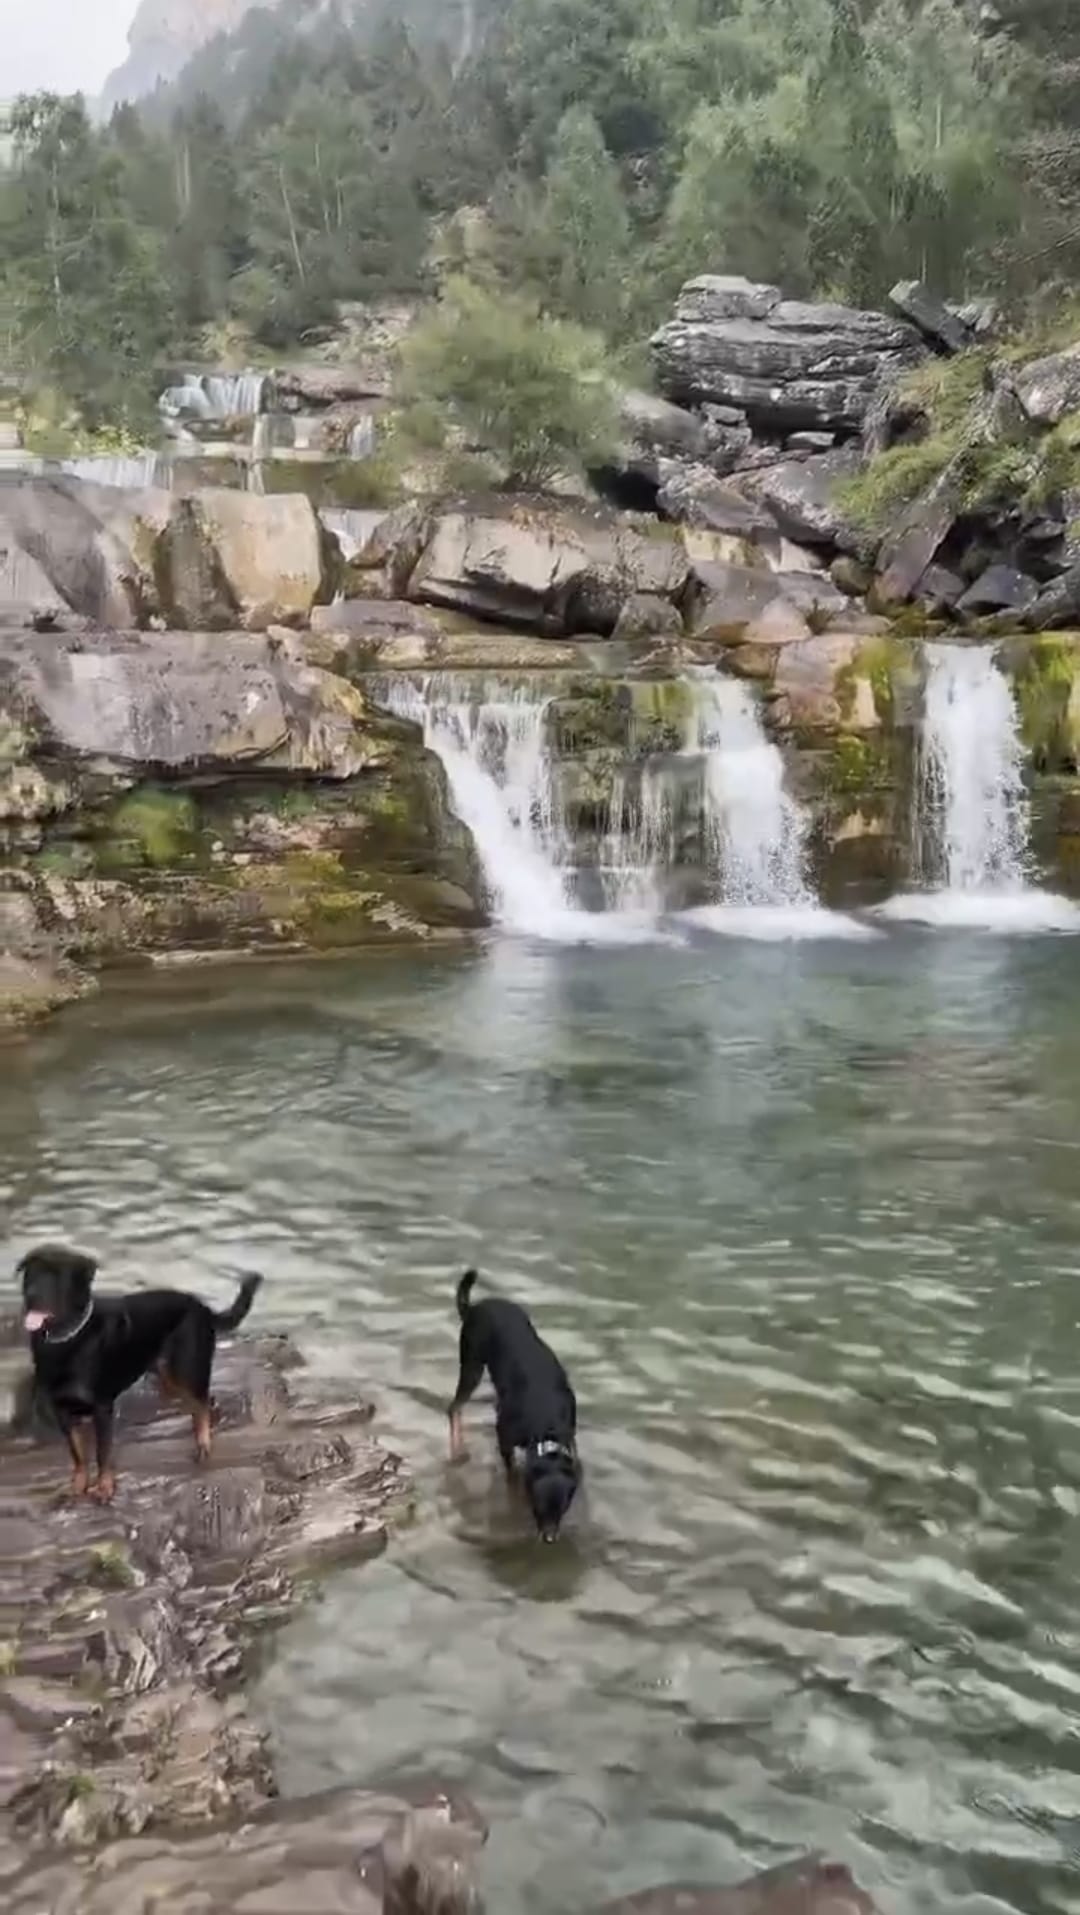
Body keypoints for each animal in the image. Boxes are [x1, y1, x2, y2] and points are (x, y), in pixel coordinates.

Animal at [18, 1248, 262, 1501]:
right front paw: (79, 1485)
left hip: (188, 1367)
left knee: (202, 1402)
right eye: (31, 1276)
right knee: (199, 1401)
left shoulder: (102, 1408)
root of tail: (203, 1308)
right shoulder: (62, 1411)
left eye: (58, 1279)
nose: (32, 1293)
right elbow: (77, 1455)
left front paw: (105, 1488)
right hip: (168, 1372)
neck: (66, 1339)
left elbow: (102, 1453)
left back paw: (203, 1443)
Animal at [448, 1271, 582, 1539]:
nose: (549, 1539)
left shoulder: (569, 1434)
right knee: (454, 1408)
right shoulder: (505, 1439)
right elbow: (512, 1475)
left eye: (562, 1508)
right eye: (538, 1508)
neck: (547, 1423)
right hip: (472, 1365)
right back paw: (458, 1448)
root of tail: (476, 1307)